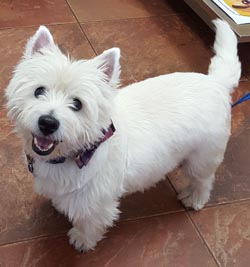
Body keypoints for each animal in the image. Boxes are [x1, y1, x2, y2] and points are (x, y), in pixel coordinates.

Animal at [5, 19, 240, 252]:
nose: (47, 123)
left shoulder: (96, 203)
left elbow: (89, 223)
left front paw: (82, 240)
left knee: (204, 179)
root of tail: (216, 83)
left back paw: (194, 198)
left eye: (77, 104)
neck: (78, 152)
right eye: (39, 91)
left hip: (204, 155)